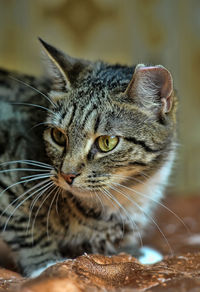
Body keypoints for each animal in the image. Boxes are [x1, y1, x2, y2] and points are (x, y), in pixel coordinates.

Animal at [0, 39, 177, 276]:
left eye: (107, 142)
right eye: (58, 136)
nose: (67, 175)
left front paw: (134, 253)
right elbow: (24, 225)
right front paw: (46, 266)